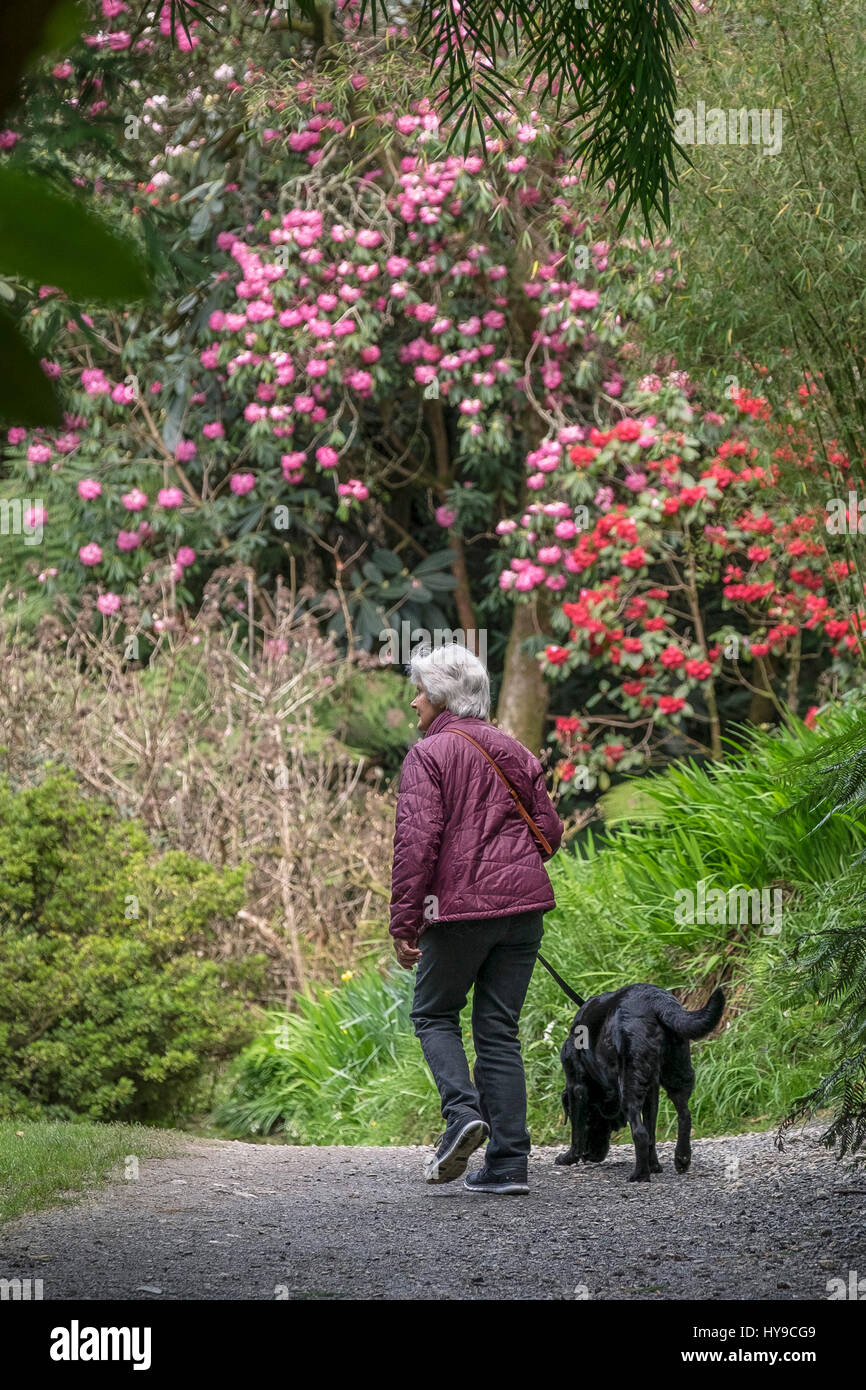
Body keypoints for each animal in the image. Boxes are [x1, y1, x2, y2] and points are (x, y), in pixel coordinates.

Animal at [556, 978, 722, 1184]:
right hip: (677, 1072)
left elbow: (576, 1130)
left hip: (629, 1086)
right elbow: (652, 1130)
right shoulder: (652, 1091)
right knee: (684, 1115)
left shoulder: (576, 1087)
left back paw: (640, 1175)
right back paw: (681, 1159)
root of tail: (656, 1001)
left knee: (640, 1133)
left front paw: (569, 1157)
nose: (589, 1156)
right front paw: (655, 1166)